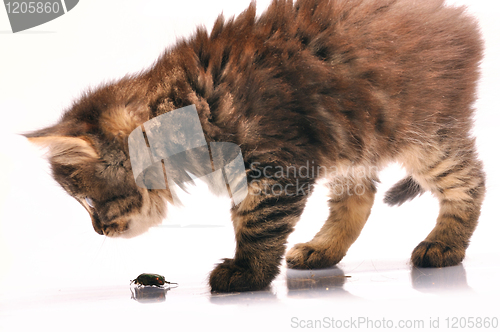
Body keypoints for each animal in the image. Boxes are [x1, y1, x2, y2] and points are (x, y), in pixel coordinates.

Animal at [26, 0, 484, 292]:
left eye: (90, 201)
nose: (97, 229)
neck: (188, 105)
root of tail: (457, 16)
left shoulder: (275, 168)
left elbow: (258, 224)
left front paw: (248, 273)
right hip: (351, 142)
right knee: (359, 197)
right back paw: (322, 250)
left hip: (425, 136)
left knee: (471, 181)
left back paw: (444, 243)